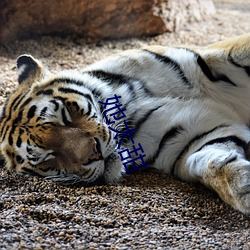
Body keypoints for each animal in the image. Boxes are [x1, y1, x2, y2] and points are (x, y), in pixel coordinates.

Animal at [0, 32, 250, 213]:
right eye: (48, 157)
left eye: (65, 115)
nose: (95, 153)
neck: (129, 107)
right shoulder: (187, 138)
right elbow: (210, 162)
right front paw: (243, 188)